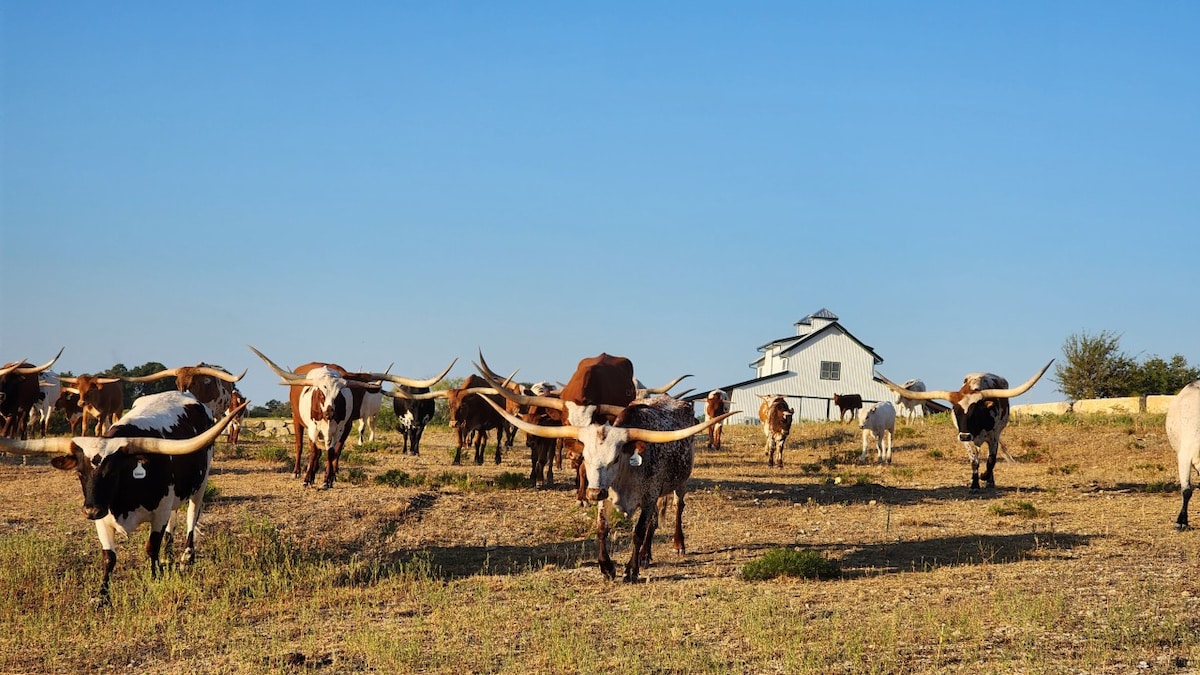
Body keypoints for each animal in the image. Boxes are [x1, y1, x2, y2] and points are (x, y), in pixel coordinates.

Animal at [0, 389, 246, 598]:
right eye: (80, 473)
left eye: (112, 472)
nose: (90, 510)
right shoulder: (103, 518)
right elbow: (109, 557)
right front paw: (102, 595)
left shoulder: (159, 512)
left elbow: (151, 548)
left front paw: (154, 577)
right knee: (174, 520)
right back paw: (169, 556)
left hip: (201, 484)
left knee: (191, 518)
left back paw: (186, 557)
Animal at [484, 391, 729, 581]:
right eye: (587, 458)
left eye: (615, 458)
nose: (593, 492)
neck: (626, 473)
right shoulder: (608, 497)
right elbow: (602, 529)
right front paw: (607, 567)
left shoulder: (649, 496)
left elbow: (638, 531)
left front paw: (631, 570)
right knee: (655, 519)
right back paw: (646, 554)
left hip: (680, 482)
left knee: (678, 508)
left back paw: (677, 543)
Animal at [878, 357, 1056, 487]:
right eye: (955, 412)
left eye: (973, 412)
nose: (963, 436)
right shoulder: (967, 440)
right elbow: (974, 461)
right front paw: (974, 484)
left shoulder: (994, 437)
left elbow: (991, 461)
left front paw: (985, 478)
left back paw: (990, 481)